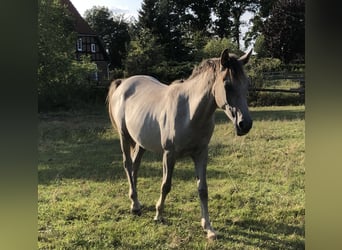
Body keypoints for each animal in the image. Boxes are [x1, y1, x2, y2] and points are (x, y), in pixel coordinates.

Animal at [108, 48, 252, 238]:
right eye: (227, 85)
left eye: (247, 84)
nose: (245, 124)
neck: (189, 113)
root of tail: (123, 83)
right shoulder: (169, 155)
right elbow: (166, 185)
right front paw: (159, 215)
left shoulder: (201, 154)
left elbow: (203, 190)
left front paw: (208, 228)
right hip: (124, 137)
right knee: (127, 164)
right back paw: (135, 206)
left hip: (141, 143)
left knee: (135, 166)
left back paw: (136, 203)